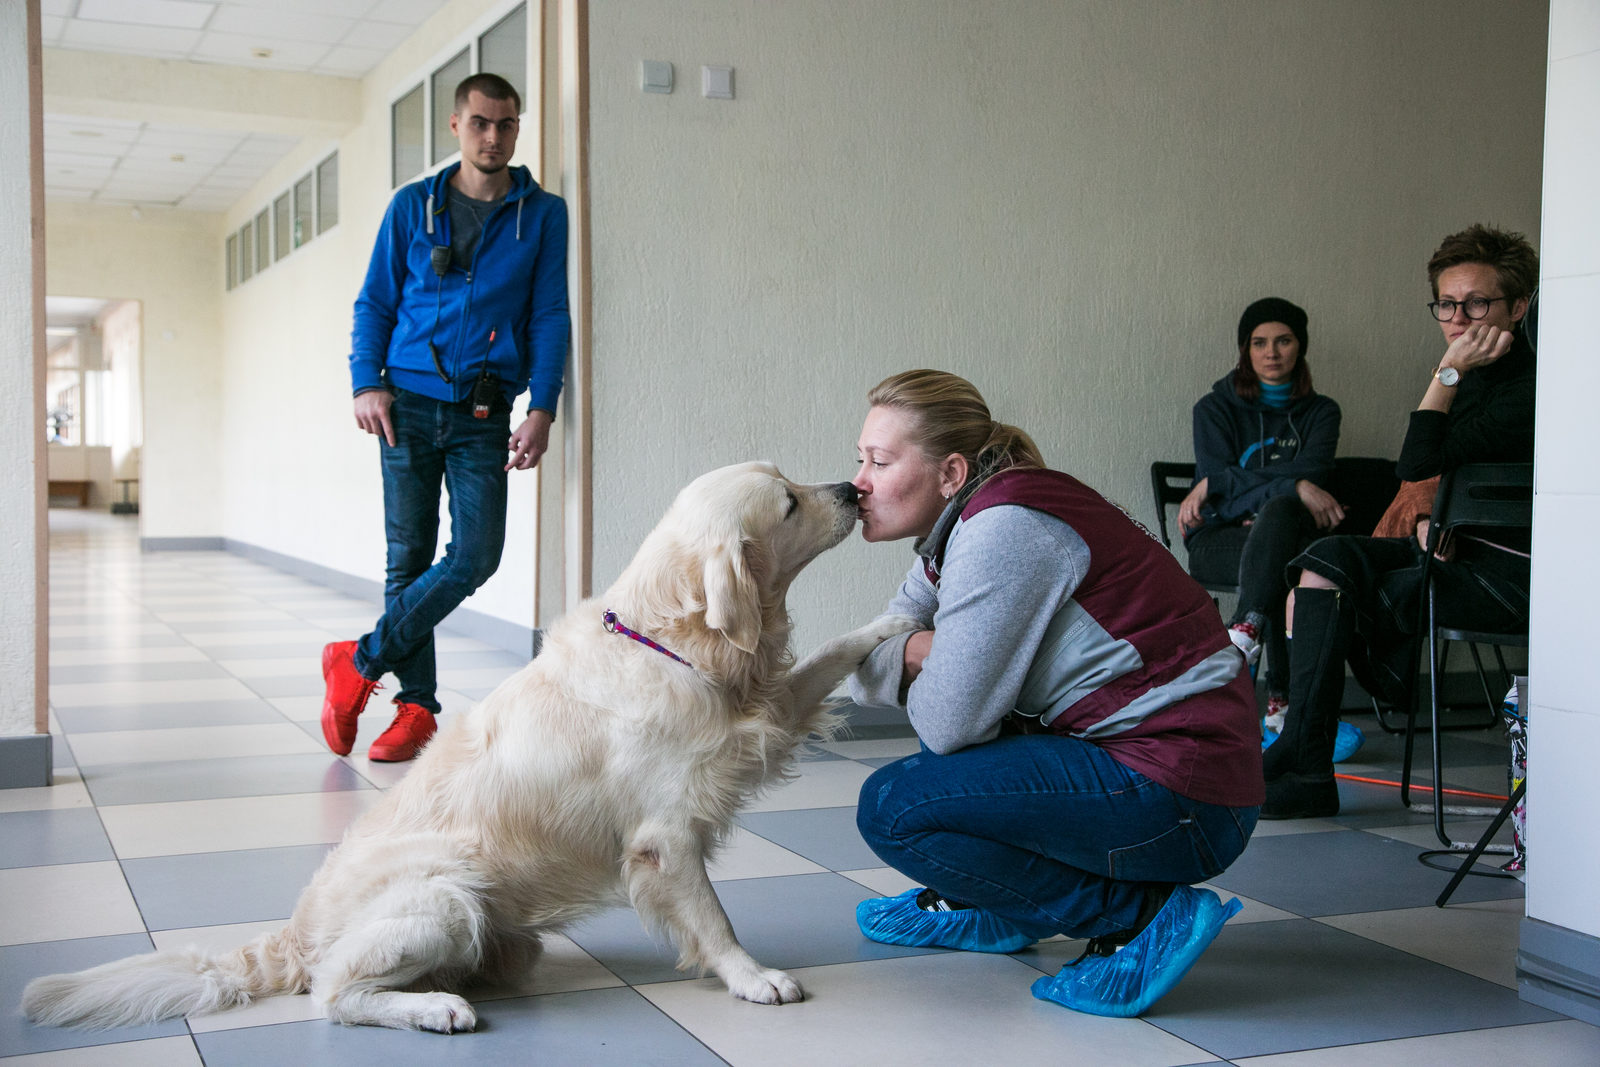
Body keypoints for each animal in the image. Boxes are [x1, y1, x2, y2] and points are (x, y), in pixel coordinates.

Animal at [21, 463, 915, 1030]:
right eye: (790, 502)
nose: (850, 487)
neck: (674, 640)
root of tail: (294, 933)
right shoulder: (665, 834)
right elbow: (712, 916)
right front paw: (753, 976)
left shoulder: (761, 712)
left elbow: (827, 655)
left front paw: (896, 621)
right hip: (446, 897)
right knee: (333, 992)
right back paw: (435, 1007)